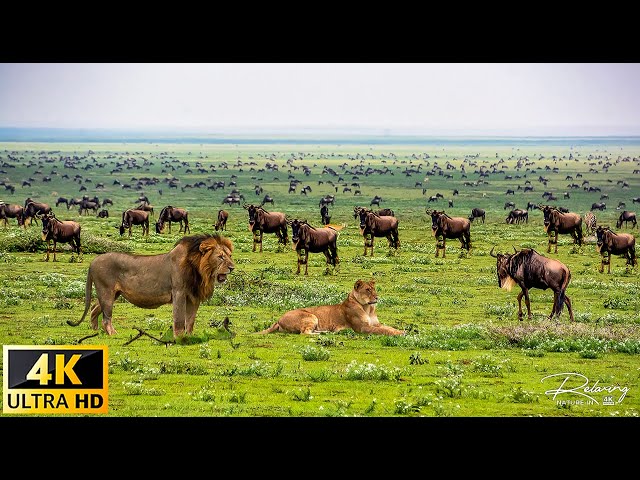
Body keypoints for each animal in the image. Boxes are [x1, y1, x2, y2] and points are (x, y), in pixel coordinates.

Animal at [67, 234, 235, 336]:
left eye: (229, 255)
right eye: (220, 257)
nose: (232, 267)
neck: (200, 270)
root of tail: (93, 262)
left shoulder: (194, 297)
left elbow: (191, 320)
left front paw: (190, 336)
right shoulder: (179, 292)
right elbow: (179, 319)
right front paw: (179, 338)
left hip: (113, 293)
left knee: (94, 309)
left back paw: (95, 332)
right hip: (106, 292)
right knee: (106, 317)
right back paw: (113, 334)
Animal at [256, 280, 402, 336]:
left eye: (374, 289)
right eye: (367, 290)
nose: (377, 297)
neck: (368, 308)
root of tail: (278, 319)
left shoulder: (376, 323)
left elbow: (388, 327)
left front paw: (402, 331)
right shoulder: (362, 328)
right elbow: (383, 331)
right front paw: (399, 334)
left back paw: (326, 332)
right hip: (311, 316)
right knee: (304, 333)